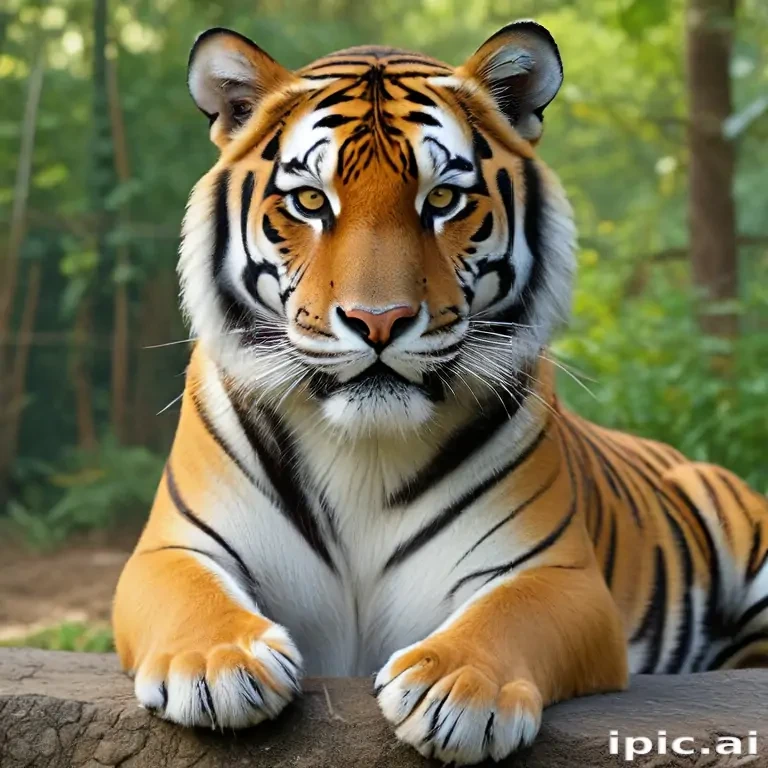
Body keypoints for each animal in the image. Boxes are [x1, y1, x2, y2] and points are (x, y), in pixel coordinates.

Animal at [113, 20, 768, 765]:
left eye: (443, 200)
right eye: (310, 201)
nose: (378, 321)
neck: (363, 449)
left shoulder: (558, 572)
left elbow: (510, 613)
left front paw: (456, 689)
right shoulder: (170, 550)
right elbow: (191, 595)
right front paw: (218, 663)